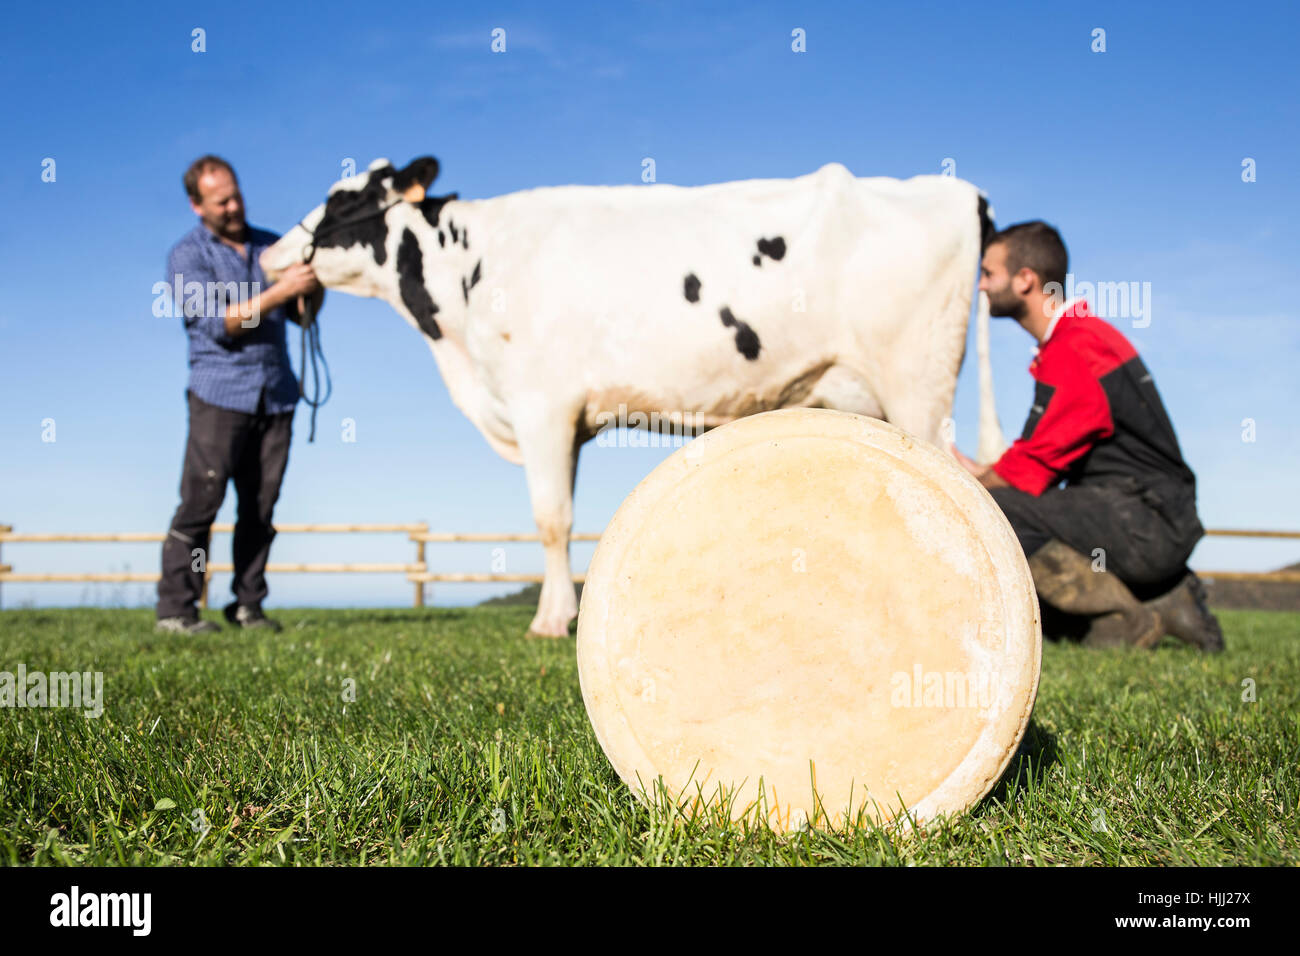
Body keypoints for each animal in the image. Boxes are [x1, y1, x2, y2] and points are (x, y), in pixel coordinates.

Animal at [263, 155, 1003, 634]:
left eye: (343, 199)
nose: (271, 255)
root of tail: (962, 193)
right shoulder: (570, 418)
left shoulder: (541, 404)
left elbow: (551, 517)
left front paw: (550, 621)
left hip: (917, 382)